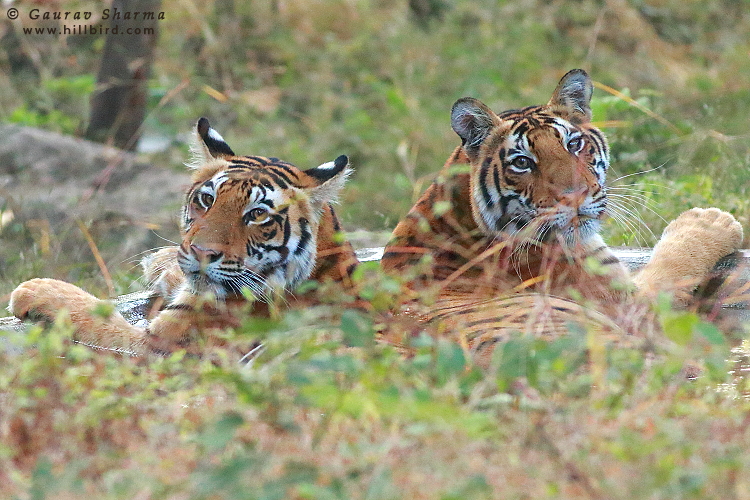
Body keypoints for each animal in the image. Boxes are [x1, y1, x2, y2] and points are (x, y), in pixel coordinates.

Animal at [10, 118, 360, 356]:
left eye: (257, 214)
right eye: (207, 199)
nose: (203, 252)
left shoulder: (159, 346)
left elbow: (95, 316)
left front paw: (36, 289)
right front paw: (161, 262)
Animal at [381, 69, 743, 365]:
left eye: (574, 144)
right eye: (522, 162)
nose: (575, 195)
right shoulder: (633, 307)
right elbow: (670, 269)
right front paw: (709, 220)